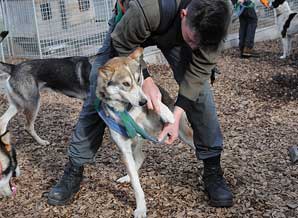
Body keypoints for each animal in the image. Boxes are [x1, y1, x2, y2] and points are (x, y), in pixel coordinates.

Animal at [94, 47, 194, 216]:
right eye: (126, 84)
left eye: (139, 79)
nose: (143, 102)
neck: (127, 110)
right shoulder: (124, 149)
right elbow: (136, 185)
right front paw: (141, 208)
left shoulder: (147, 96)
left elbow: (152, 97)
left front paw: (165, 112)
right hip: (135, 142)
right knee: (140, 158)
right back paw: (127, 177)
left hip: (182, 133)